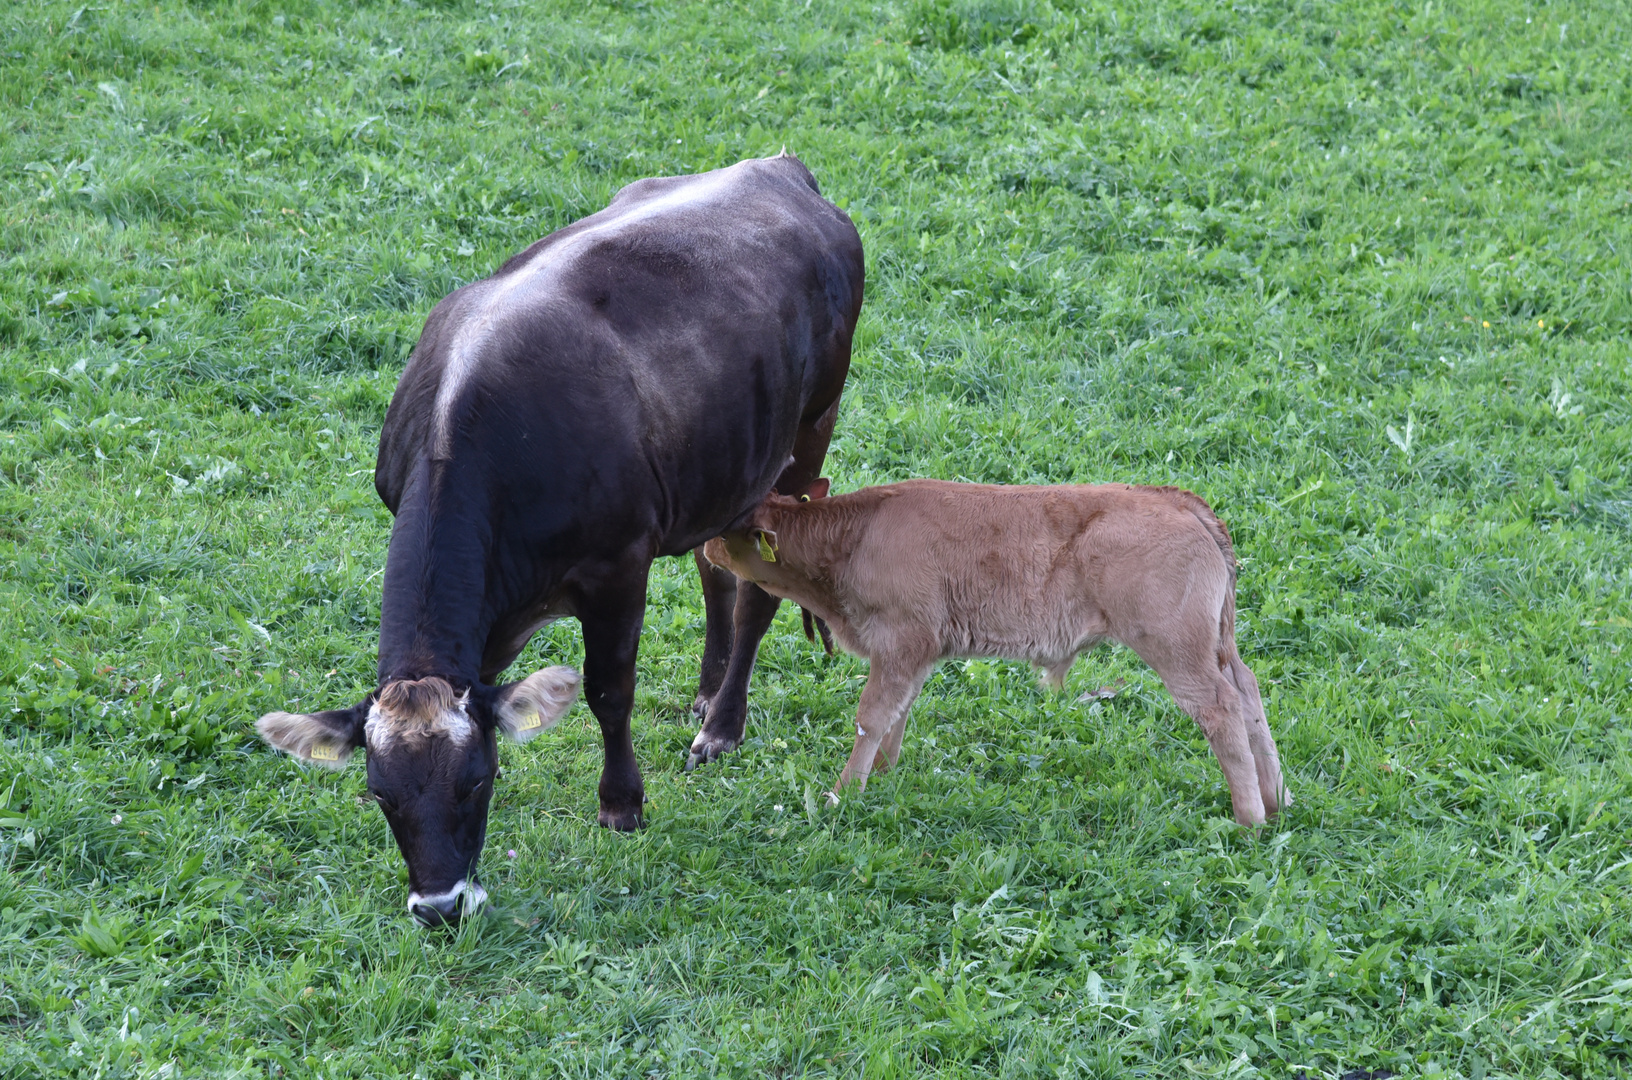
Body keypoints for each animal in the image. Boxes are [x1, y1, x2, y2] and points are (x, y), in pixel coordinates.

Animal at [708, 482, 1292, 828]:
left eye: (731, 527)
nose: (704, 545)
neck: (855, 537)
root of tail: (1176, 498)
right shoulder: (915, 653)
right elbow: (897, 715)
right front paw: (886, 775)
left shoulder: (899, 641)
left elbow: (871, 717)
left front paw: (844, 793)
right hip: (1217, 645)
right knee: (1249, 694)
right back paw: (1277, 798)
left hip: (1178, 649)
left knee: (1221, 709)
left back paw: (1249, 818)